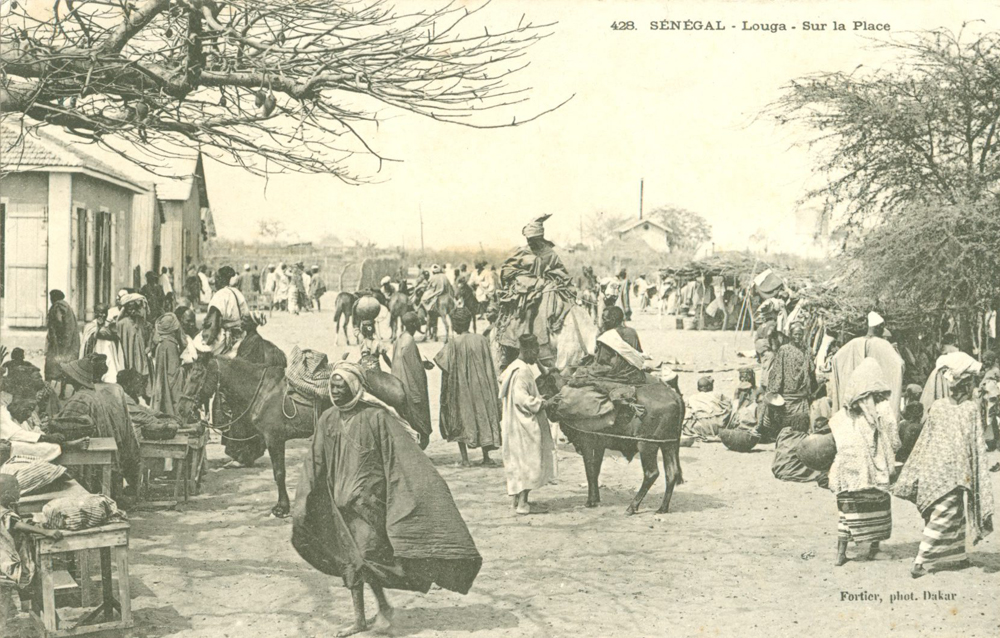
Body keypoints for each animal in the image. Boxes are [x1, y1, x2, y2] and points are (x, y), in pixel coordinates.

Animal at [180, 356, 318, 520]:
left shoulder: (274, 440)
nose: (182, 408)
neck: (265, 392)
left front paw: (282, 508)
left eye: (195, 377)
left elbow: (279, 474)